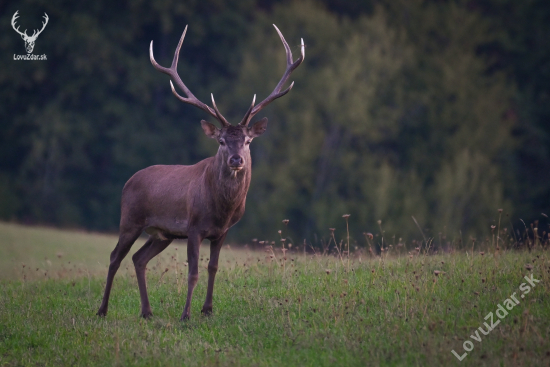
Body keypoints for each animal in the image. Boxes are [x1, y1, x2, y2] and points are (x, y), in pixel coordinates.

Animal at [99, 24, 306, 320]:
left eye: (247, 141)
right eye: (221, 141)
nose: (236, 160)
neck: (222, 209)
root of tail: (128, 181)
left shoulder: (223, 232)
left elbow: (213, 268)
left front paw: (207, 310)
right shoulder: (194, 227)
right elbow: (193, 272)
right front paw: (186, 314)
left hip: (162, 234)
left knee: (139, 258)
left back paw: (147, 312)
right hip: (130, 219)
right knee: (116, 257)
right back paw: (102, 309)